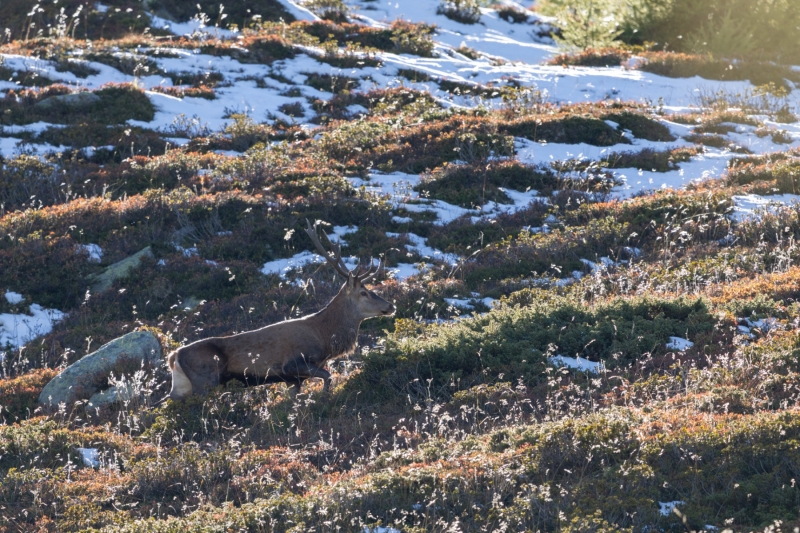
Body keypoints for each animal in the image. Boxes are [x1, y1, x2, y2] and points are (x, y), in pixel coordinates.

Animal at [162, 220, 395, 402]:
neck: (326, 339)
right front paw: (324, 397)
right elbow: (328, 376)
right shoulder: (293, 364)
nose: (390, 306)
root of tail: (174, 356)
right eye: (364, 292)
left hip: (182, 386)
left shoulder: (293, 380)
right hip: (205, 379)